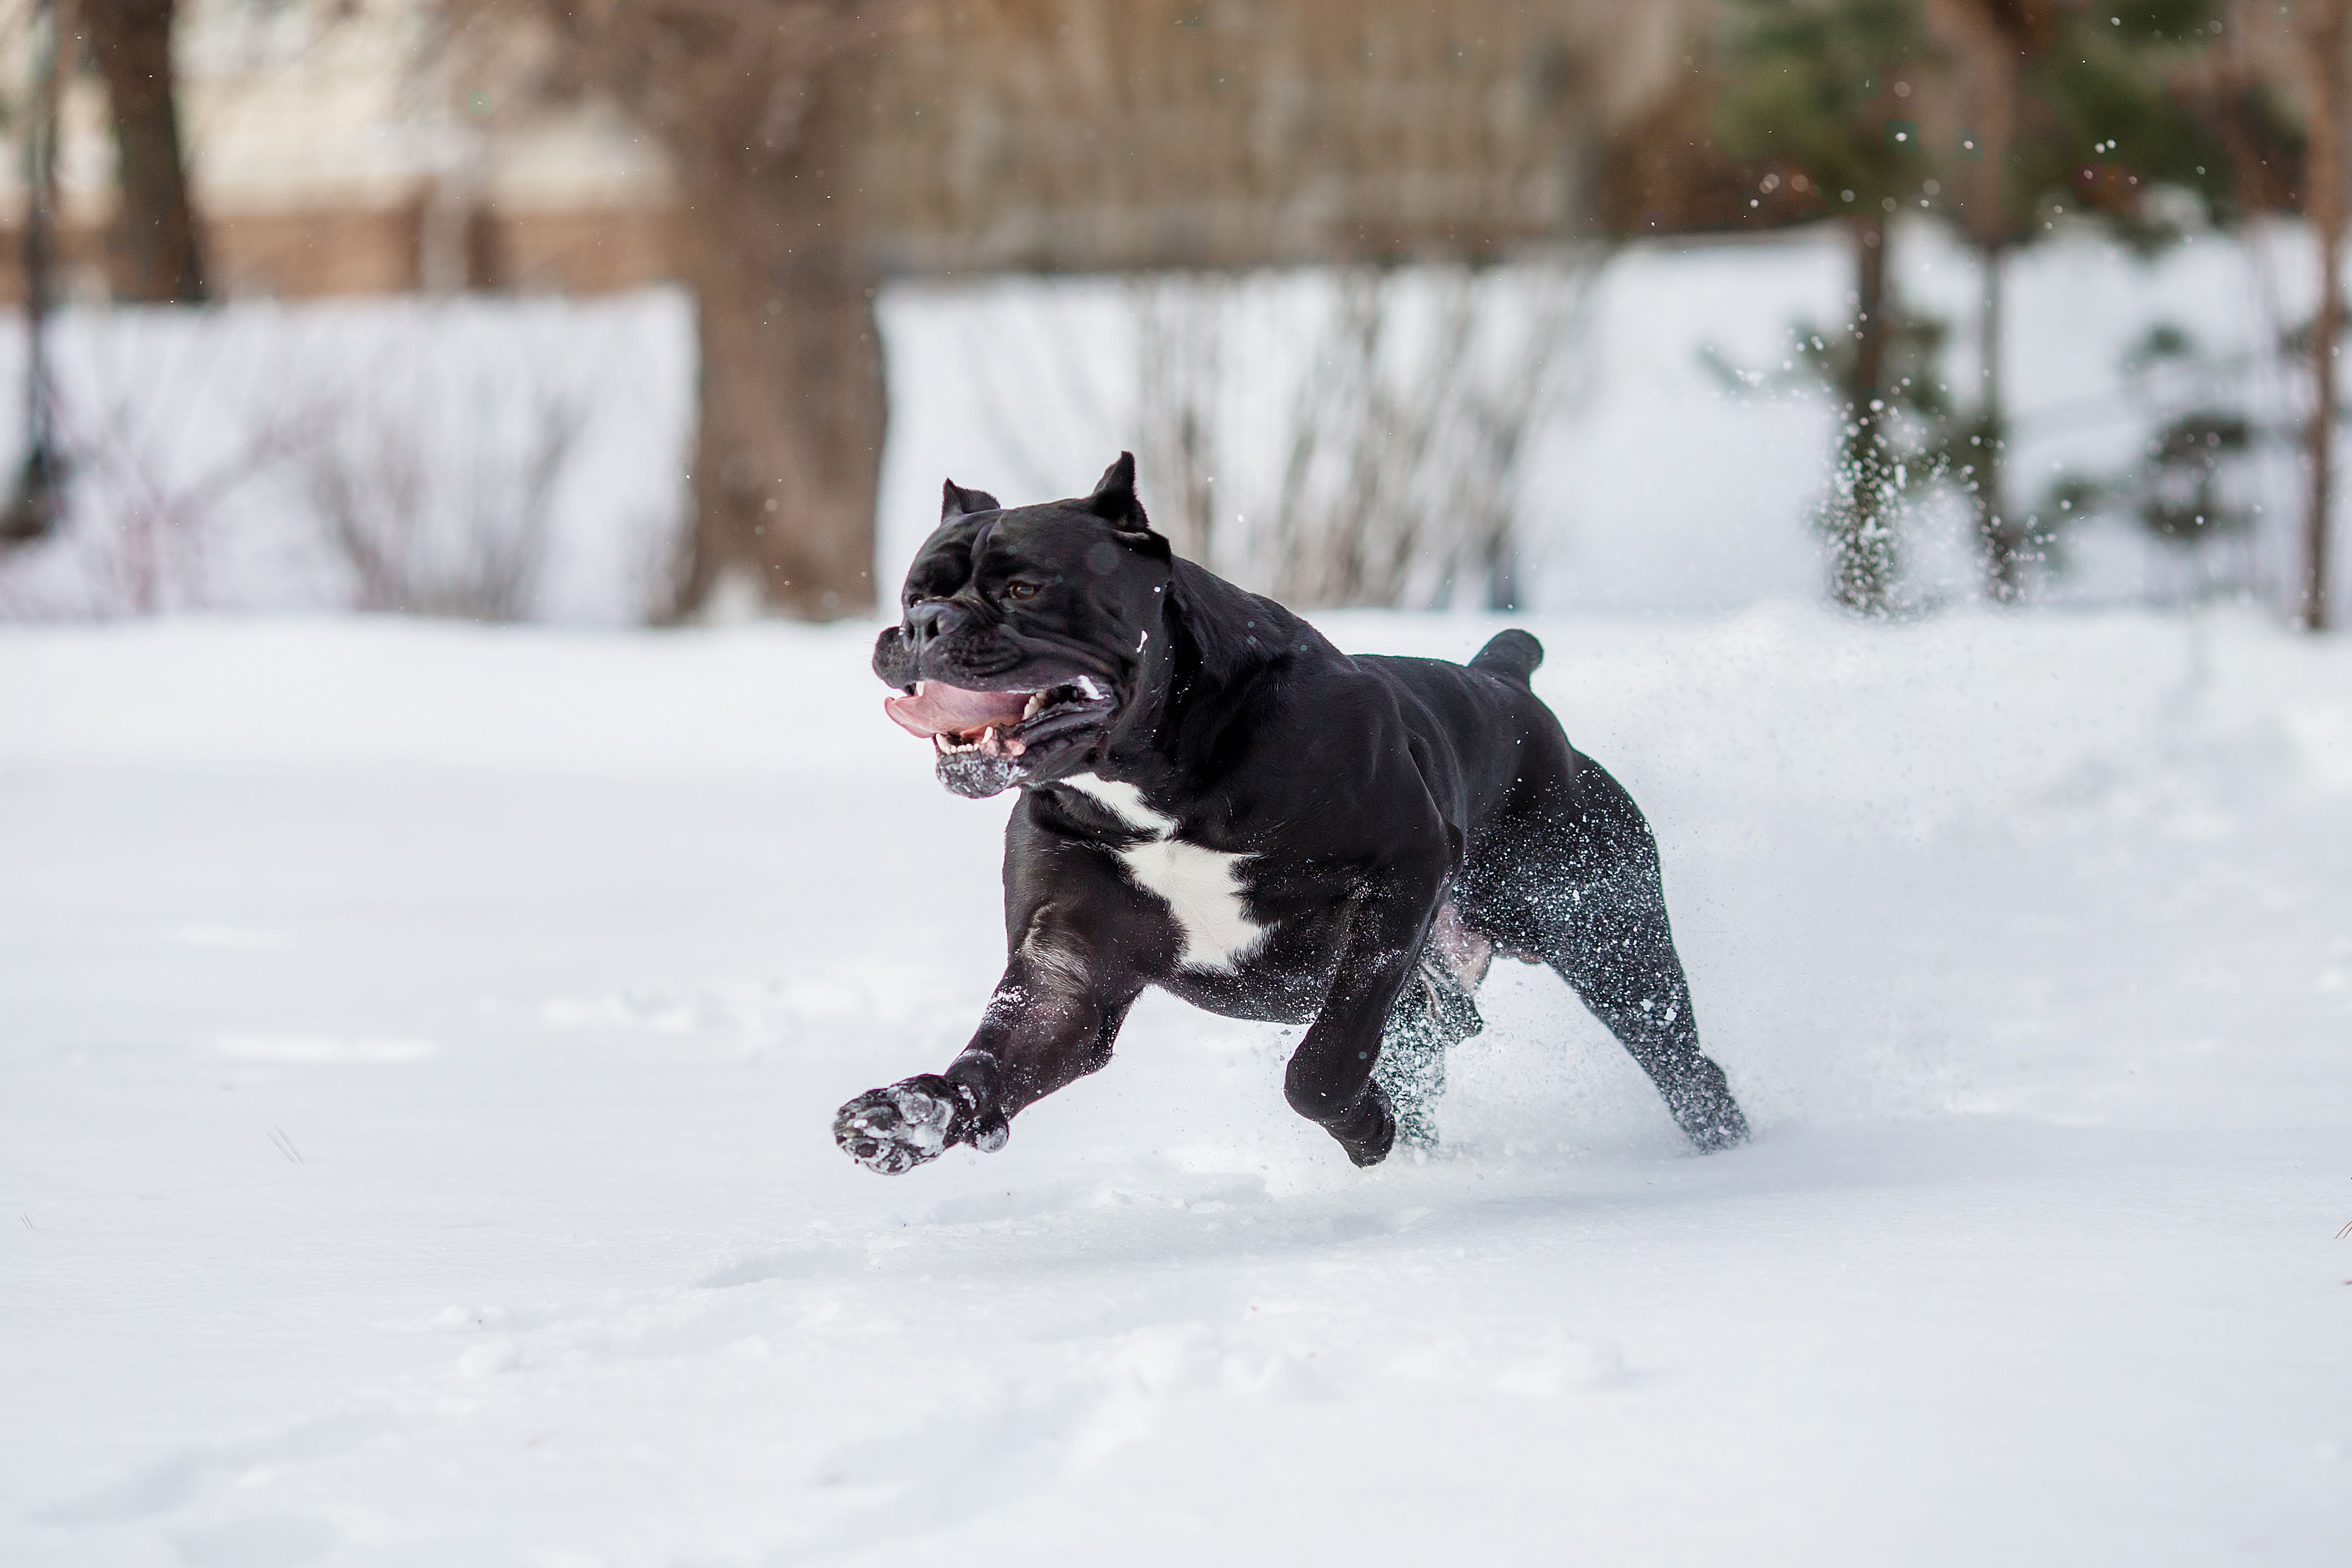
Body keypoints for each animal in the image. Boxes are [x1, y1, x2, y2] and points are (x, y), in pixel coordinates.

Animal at [833, 460, 1749, 1171]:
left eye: (1024, 588)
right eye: (912, 594)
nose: (925, 623)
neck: (1155, 781)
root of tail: (1505, 679)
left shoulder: (1396, 887)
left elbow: (1322, 1064)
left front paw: (1365, 1127)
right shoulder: (1067, 971)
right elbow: (992, 1056)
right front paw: (910, 1115)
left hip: (1605, 936)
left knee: (1682, 1062)